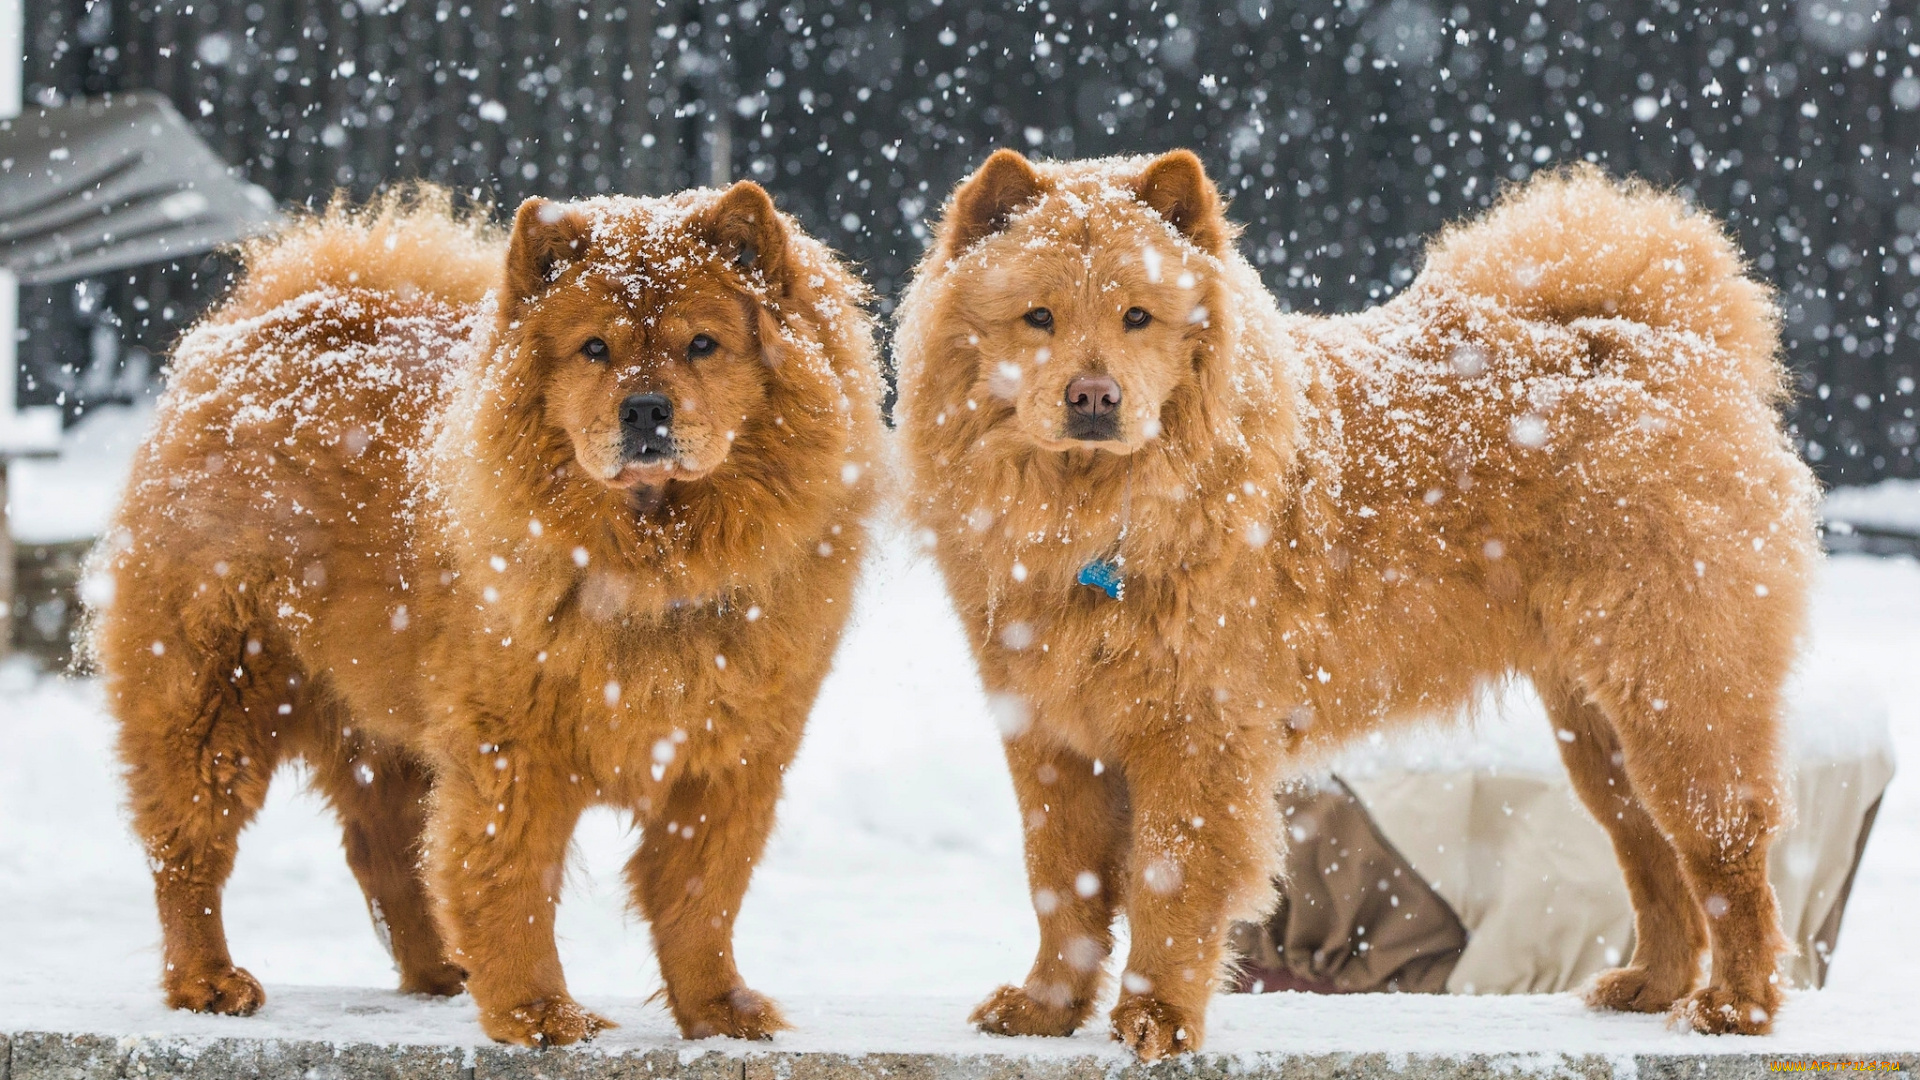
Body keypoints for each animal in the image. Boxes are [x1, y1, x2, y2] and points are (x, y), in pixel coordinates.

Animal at [82, 182, 879, 1045]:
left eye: (703, 345)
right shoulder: (512, 749)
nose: (644, 410)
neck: (651, 562)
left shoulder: (730, 758)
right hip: (215, 692)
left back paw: (440, 974)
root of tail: (266, 323)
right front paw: (541, 1014)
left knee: (387, 855)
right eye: (594, 349)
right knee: (189, 850)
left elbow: (701, 895)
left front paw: (719, 1011)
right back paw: (208, 981)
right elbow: (510, 883)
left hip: (383, 730)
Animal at [894, 151, 1812, 1053]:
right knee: (1650, 856)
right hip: (1597, 733)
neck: (1088, 518)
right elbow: (1064, 886)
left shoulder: (1195, 733)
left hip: (1677, 699)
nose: (1092, 395)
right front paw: (1044, 1008)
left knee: (1726, 857)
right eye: (1038, 317)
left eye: (1137, 317)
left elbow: (1169, 881)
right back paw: (1650, 987)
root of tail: (1668, 336)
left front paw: (1157, 1019)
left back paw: (1736, 1006)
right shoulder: (1049, 732)